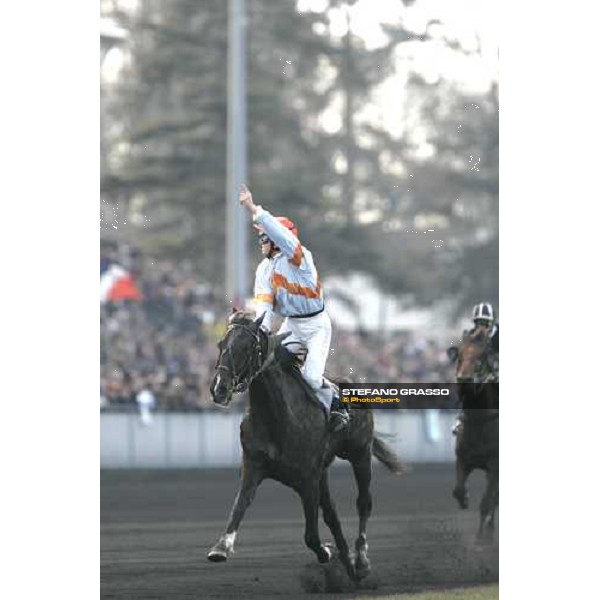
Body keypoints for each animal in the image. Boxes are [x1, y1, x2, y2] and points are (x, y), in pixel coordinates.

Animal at [206, 310, 404, 580]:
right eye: (220, 344)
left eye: (247, 348)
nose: (220, 388)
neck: (275, 417)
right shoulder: (253, 466)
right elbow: (240, 505)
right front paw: (221, 547)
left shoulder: (308, 479)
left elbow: (311, 535)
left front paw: (328, 552)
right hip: (325, 470)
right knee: (332, 514)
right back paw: (349, 563)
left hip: (360, 454)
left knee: (364, 502)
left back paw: (361, 559)